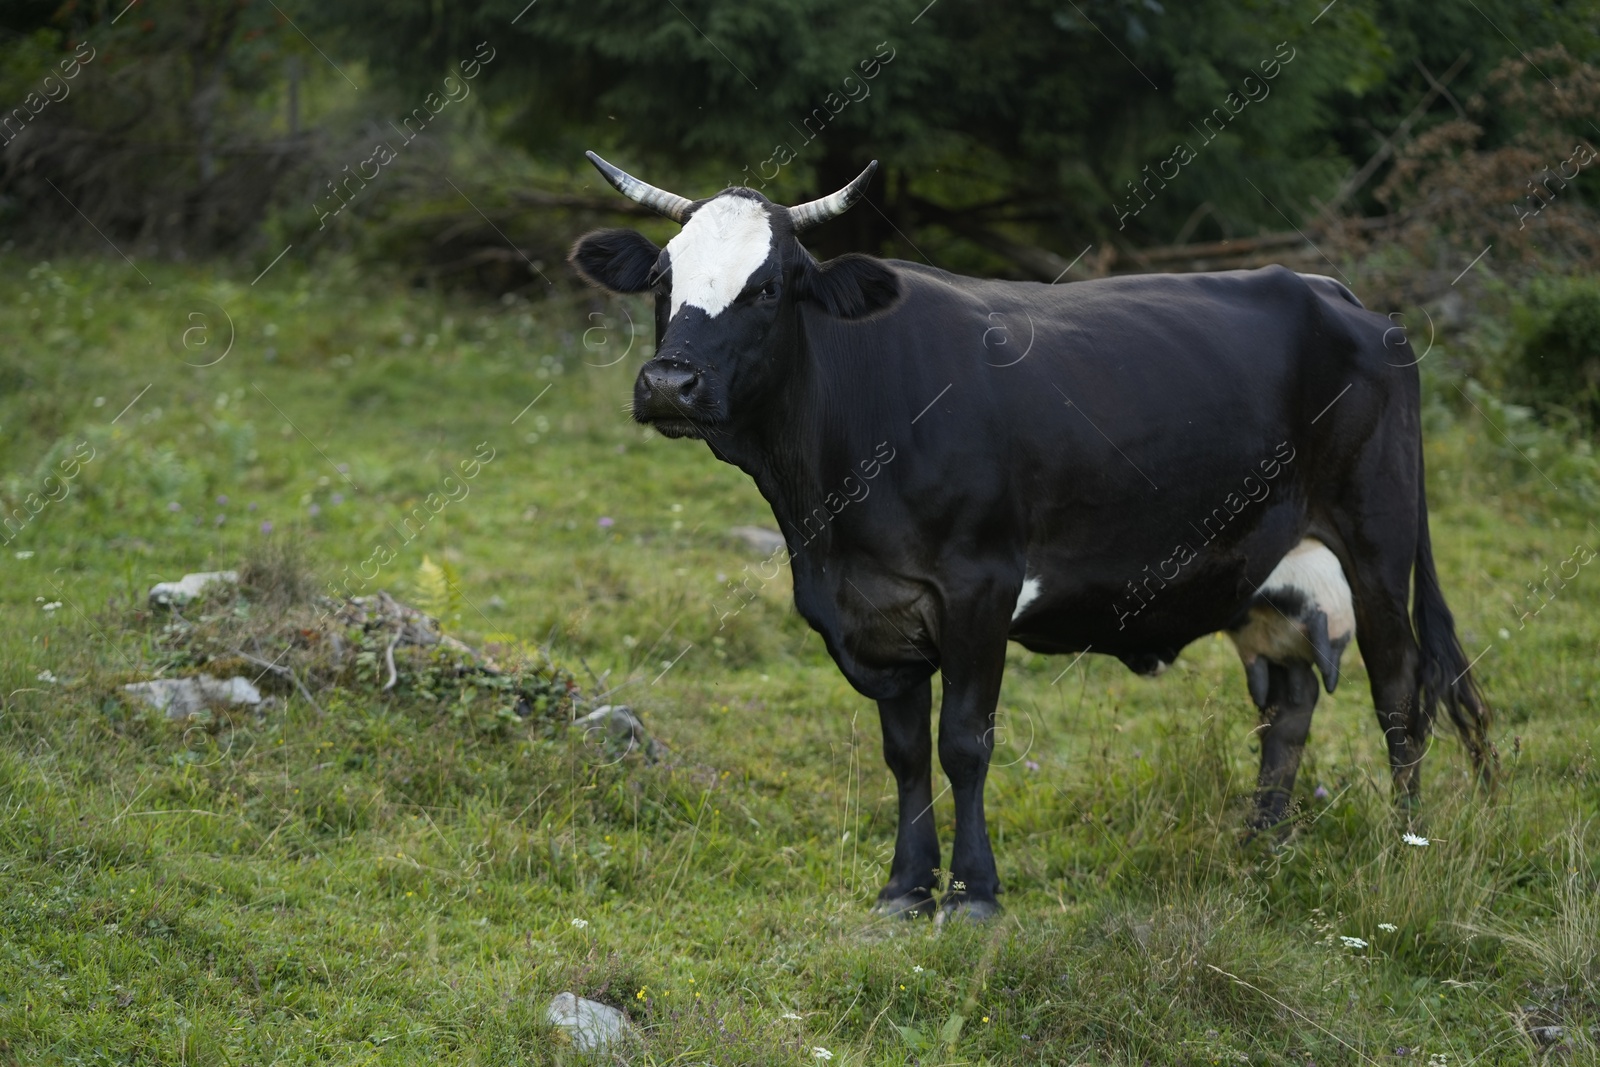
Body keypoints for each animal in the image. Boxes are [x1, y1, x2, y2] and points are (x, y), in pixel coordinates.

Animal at [569, 154, 1491, 921]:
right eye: (662, 278)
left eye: (767, 288)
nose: (669, 382)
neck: (825, 509)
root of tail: (1340, 293)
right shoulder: (869, 608)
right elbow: (905, 750)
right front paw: (905, 887)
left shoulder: (980, 584)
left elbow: (963, 742)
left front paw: (974, 892)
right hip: (1269, 571)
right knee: (1288, 702)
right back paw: (1260, 841)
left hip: (1378, 539)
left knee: (1400, 692)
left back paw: (1405, 844)